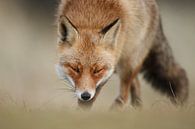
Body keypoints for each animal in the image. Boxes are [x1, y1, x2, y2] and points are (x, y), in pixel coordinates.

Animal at [54, 0, 187, 110]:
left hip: (128, 63)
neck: (90, 18)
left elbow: (87, 102)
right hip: (119, 65)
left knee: (124, 95)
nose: (85, 95)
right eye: (75, 68)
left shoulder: (105, 74)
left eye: (97, 70)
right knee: (136, 86)